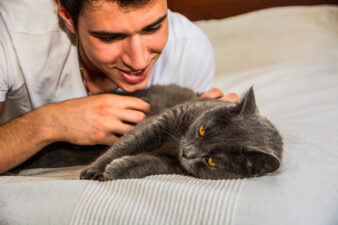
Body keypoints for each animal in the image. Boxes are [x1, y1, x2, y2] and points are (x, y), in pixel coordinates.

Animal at [80, 84, 282, 181]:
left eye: (211, 161)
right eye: (202, 130)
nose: (187, 152)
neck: (175, 147)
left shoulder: (175, 165)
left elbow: (150, 164)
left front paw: (117, 169)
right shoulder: (162, 121)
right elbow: (127, 144)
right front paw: (95, 169)